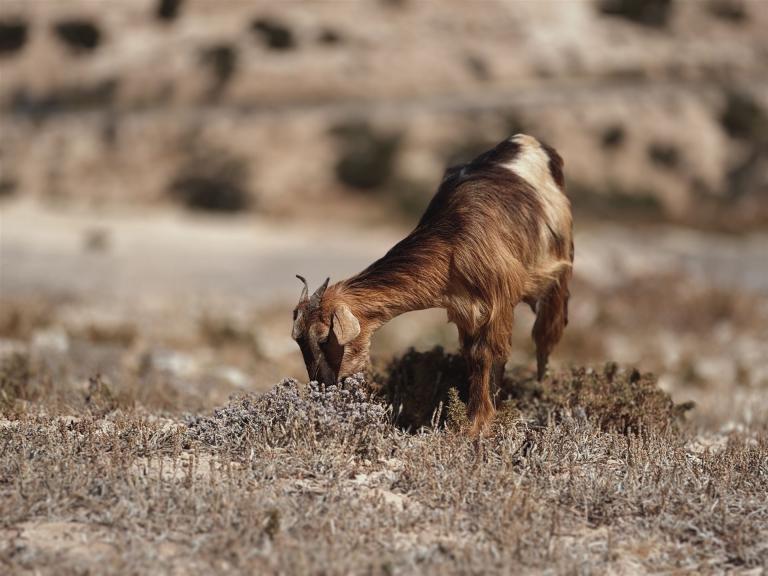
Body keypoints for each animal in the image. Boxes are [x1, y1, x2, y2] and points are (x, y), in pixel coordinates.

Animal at [292, 134, 573, 435]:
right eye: (299, 341)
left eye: (324, 337)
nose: (325, 387)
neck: (451, 243)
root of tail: (525, 140)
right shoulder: (465, 310)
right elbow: (474, 356)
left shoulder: (498, 303)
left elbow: (487, 355)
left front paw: (478, 424)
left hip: (560, 267)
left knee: (546, 332)